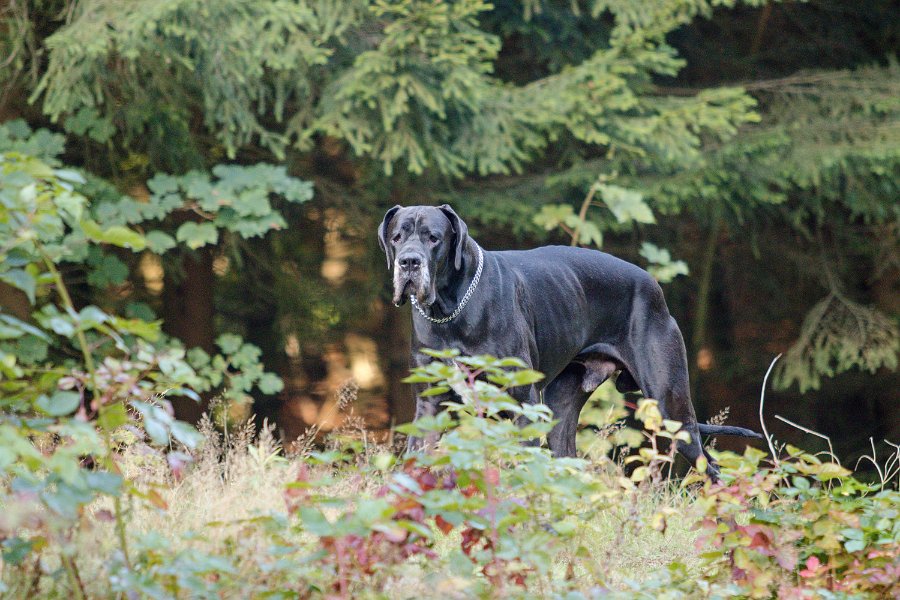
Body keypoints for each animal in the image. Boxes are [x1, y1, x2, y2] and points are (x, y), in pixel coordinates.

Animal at [380, 205, 760, 478]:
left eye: (433, 238)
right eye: (397, 237)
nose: (409, 262)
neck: (451, 311)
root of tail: (654, 287)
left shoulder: (523, 403)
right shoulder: (429, 406)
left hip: (672, 407)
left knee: (710, 469)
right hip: (560, 408)